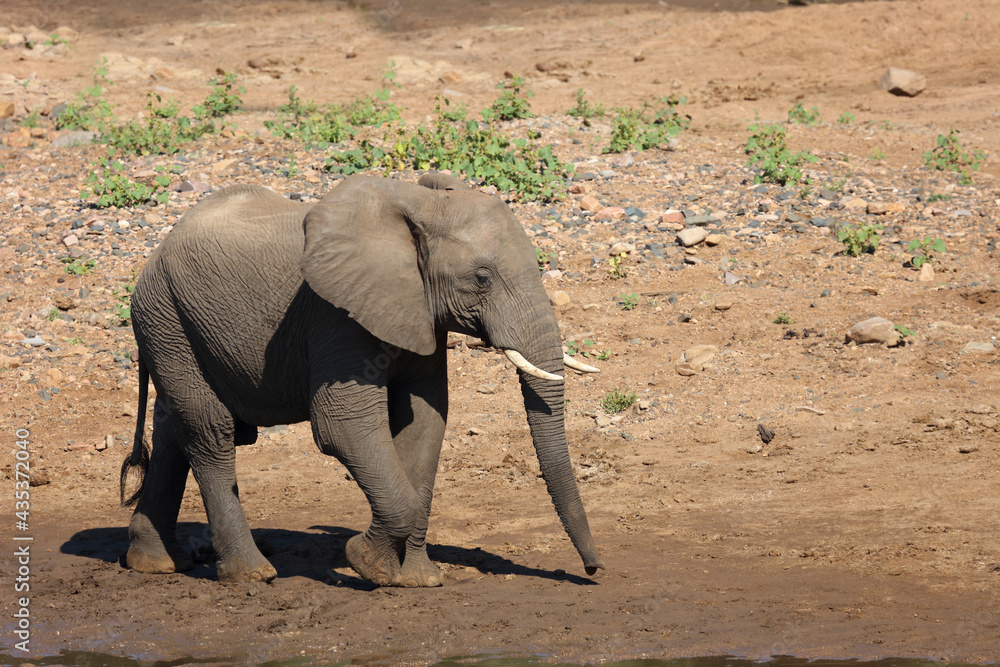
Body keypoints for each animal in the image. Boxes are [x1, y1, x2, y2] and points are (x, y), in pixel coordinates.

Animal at [119, 174, 604, 587]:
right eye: (482, 279)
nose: (593, 569)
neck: (422, 205)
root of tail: (155, 254)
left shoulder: (419, 311)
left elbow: (425, 422)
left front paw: (417, 580)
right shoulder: (335, 315)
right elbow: (343, 426)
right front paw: (367, 564)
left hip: (172, 327)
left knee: (173, 431)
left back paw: (155, 563)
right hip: (167, 318)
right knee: (210, 433)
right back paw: (252, 574)